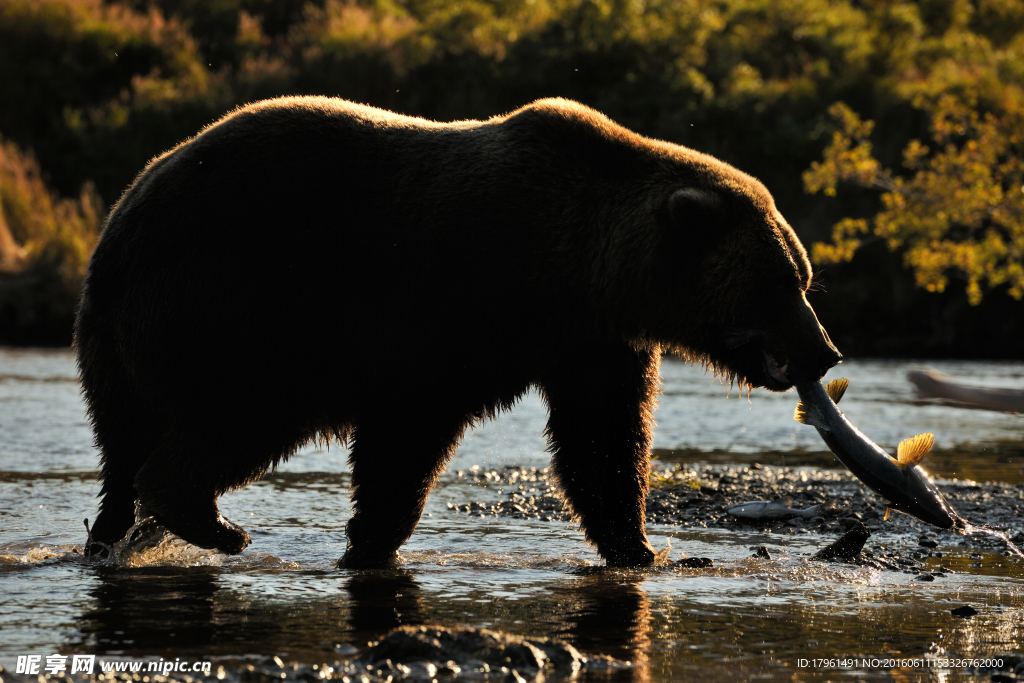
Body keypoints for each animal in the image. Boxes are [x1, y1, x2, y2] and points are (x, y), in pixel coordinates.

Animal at [77, 94, 839, 565]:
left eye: (803, 278)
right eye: (780, 282)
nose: (825, 352)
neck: (579, 265)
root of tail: (122, 224)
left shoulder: (590, 341)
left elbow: (602, 438)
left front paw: (639, 546)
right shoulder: (457, 303)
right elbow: (408, 430)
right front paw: (370, 539)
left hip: (117, 336)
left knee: (122, 442)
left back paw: (112, 535)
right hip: (235, 299)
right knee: (241, 412)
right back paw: (214, 523)